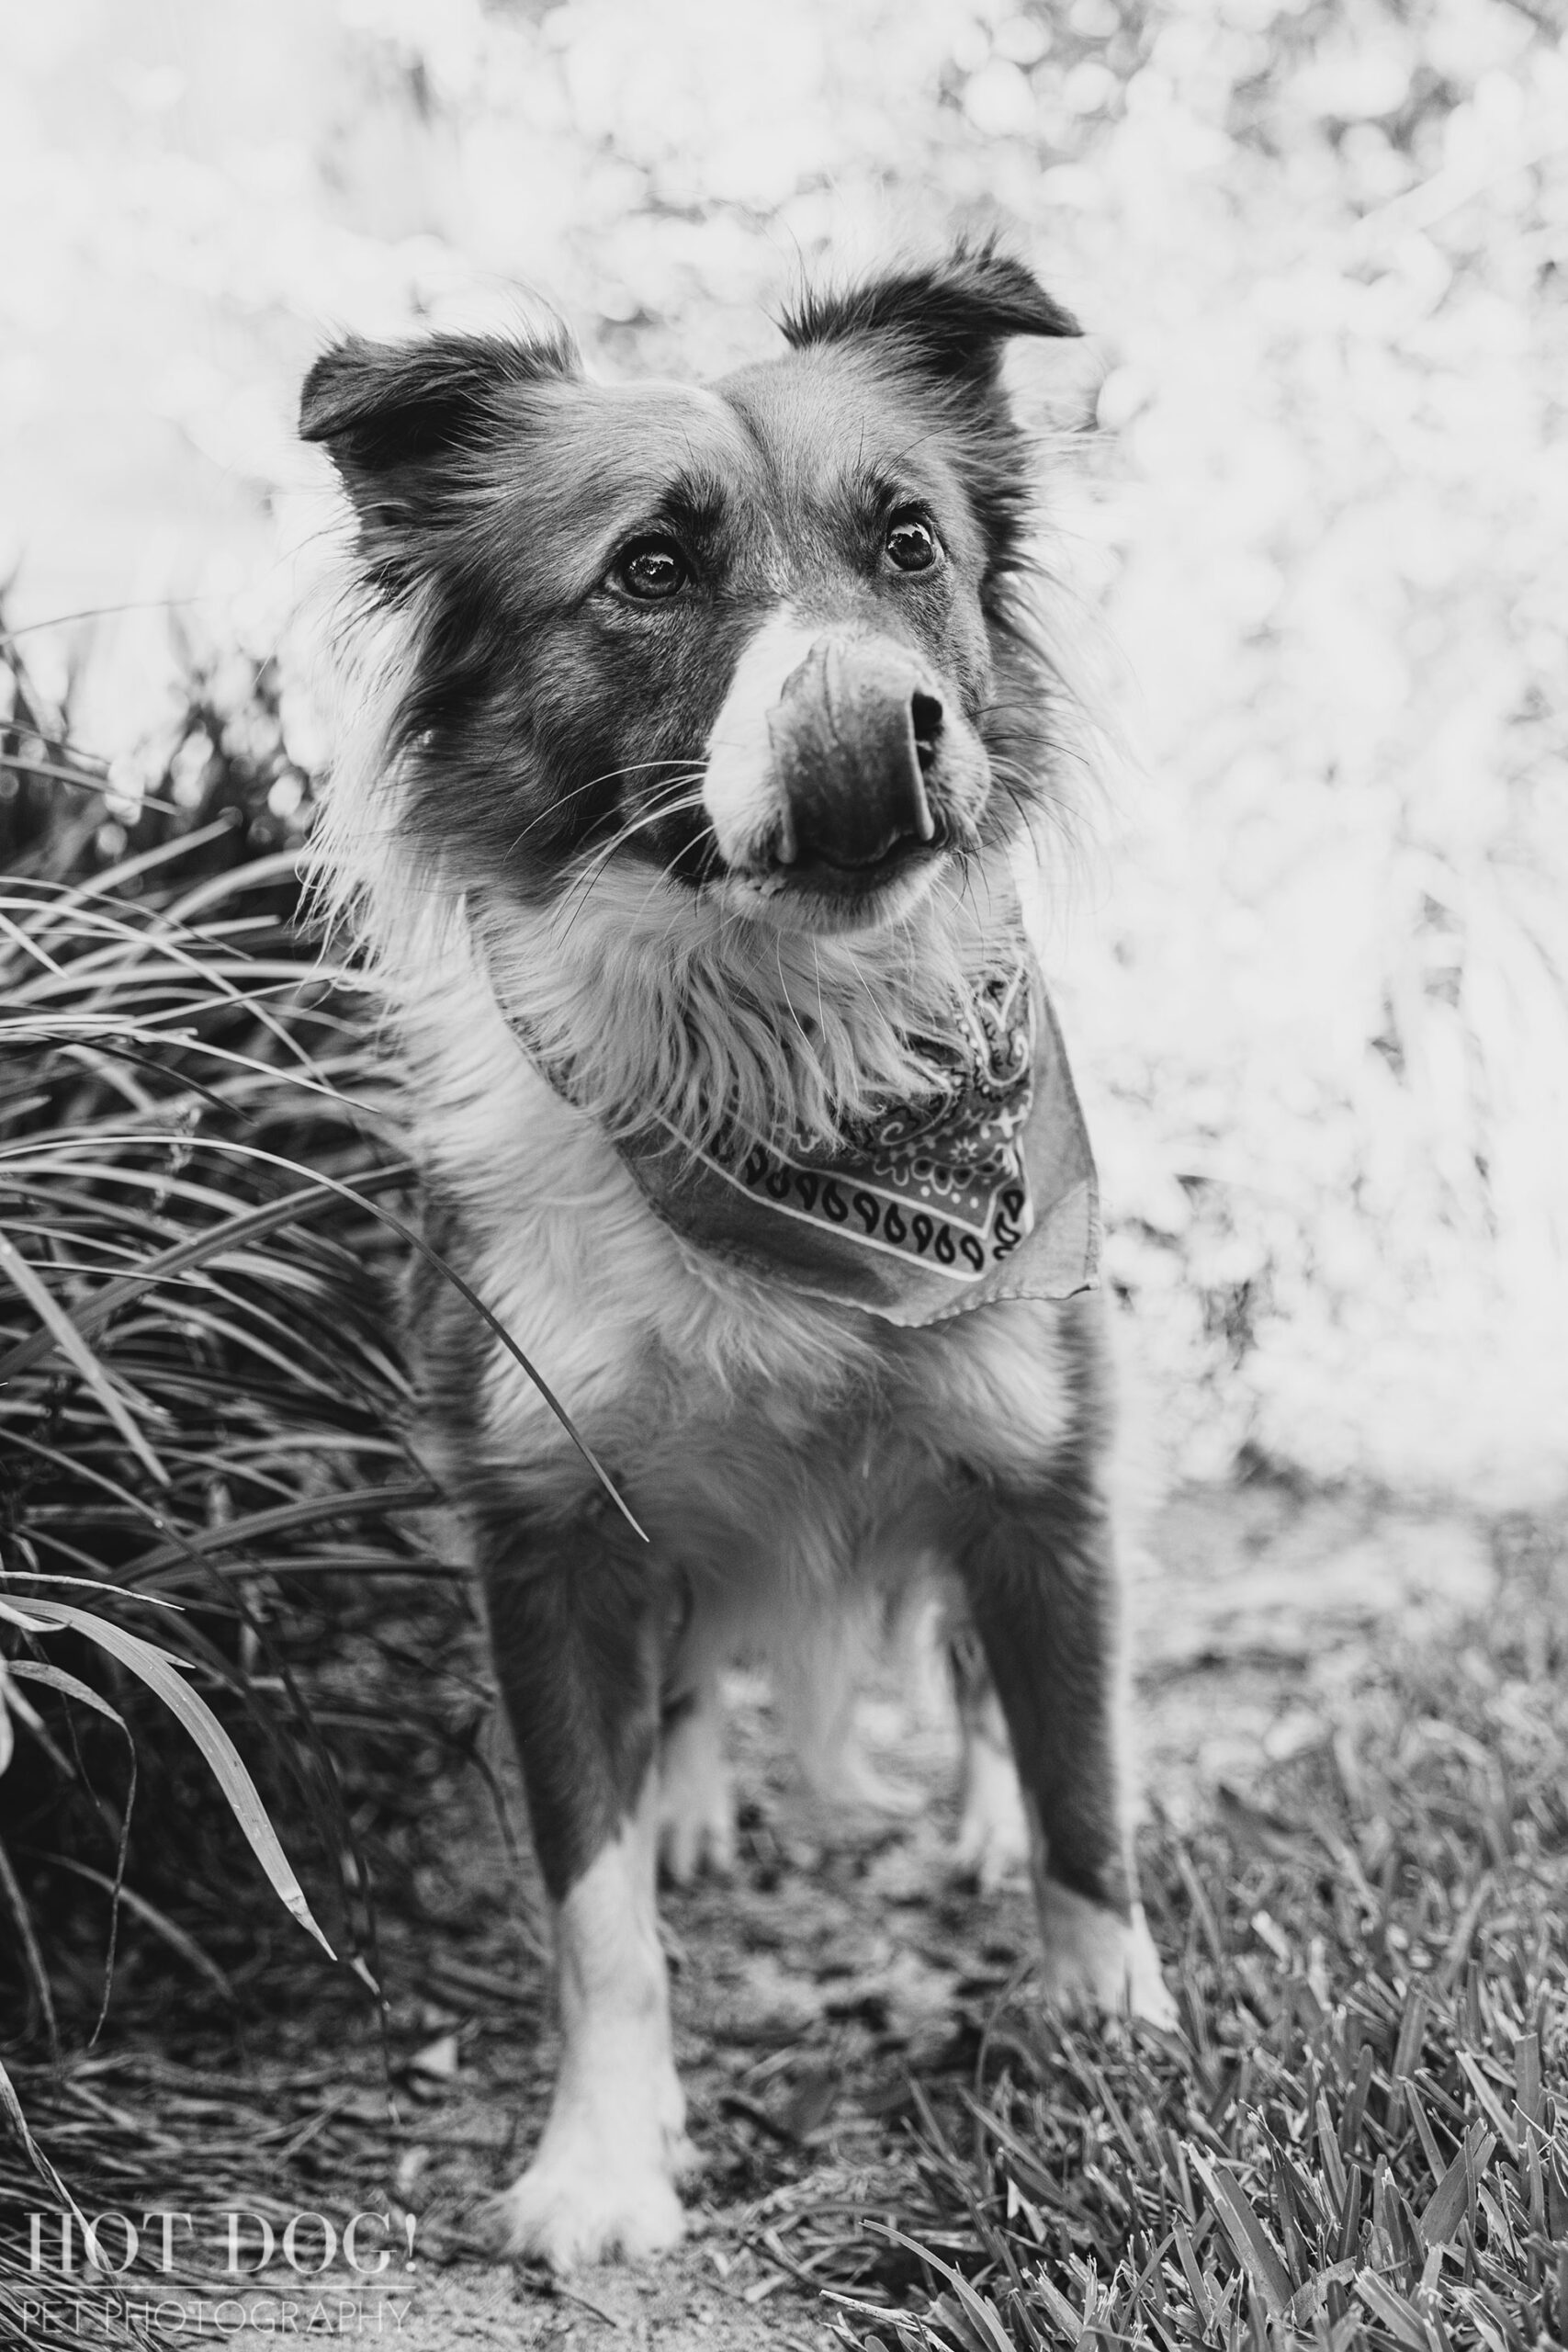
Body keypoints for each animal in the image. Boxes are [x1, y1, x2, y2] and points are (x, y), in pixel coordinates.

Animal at [300, 243, 1170, 2277]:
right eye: (648, 568)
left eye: (909, 542)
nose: (871, 733)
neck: (784, 1062)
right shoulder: (546, 1533)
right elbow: (595, 1908)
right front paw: (603, 2160)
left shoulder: (1047, 1467)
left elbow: (1081, 1781)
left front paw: (1104, 2029)